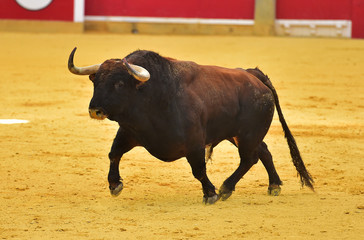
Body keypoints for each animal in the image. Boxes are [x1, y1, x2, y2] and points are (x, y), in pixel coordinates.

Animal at [67, 48, 312, 204]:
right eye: (96, 81)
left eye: (118, 83)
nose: (95, 110)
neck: (153, 96)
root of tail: (253, 75)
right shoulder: (128, 133)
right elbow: (114, 154)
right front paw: (114, 185)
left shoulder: (194, 144)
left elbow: (199, 170)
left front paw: (210, 194)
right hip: (241, 135)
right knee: (263, 152)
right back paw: (274, 185)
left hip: (247, 135)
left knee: (249, 158)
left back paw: (226, 188)